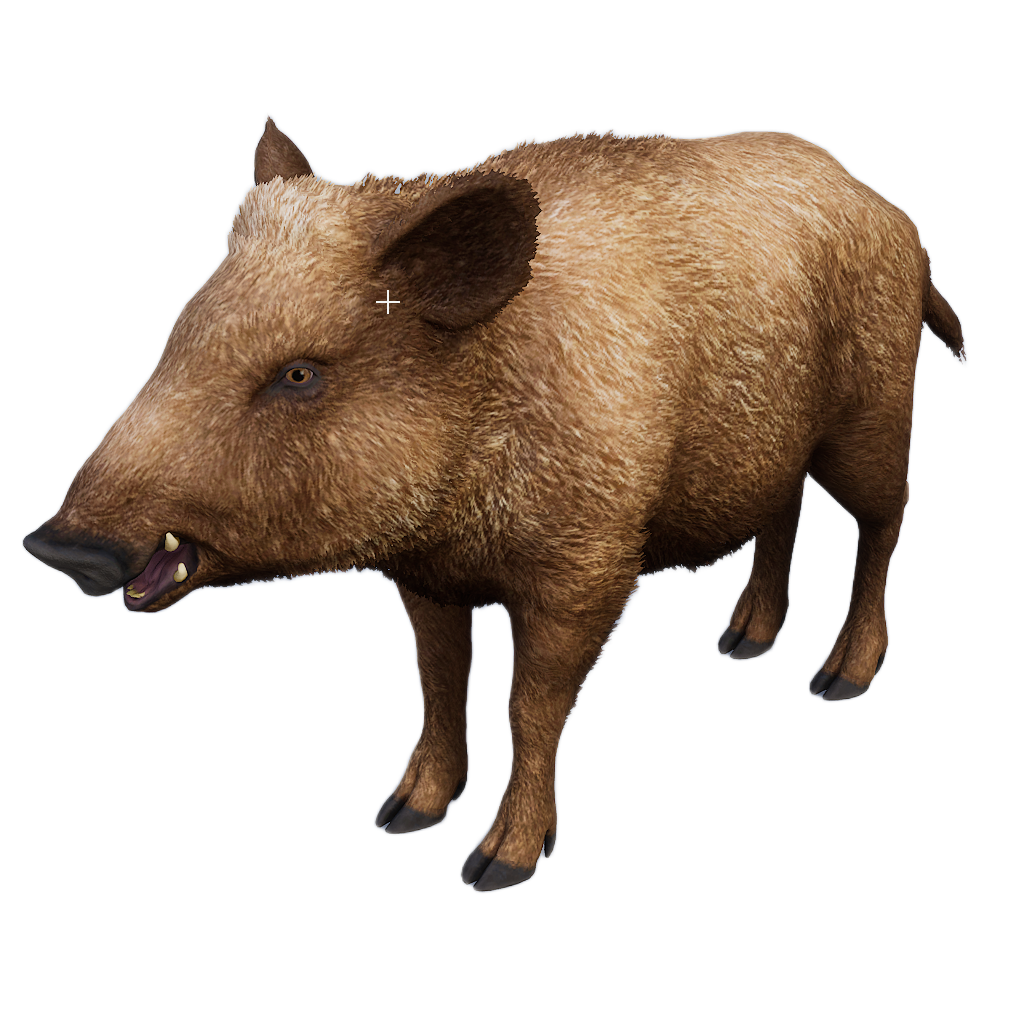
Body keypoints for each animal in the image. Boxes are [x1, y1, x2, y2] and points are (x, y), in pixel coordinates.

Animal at [22, 113, 968, 892]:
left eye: (298, 374)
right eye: (181, 333)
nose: (58, 545)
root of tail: (892, 213)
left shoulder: (590, 569)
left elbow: (530, 703)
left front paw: (494, 869)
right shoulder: (426, 575)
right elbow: (440, 682)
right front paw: (399, 817)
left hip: (876, 415)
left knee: (884, 522)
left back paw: (838, 681)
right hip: (770, 447)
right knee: (783, 515)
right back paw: (740, 645)